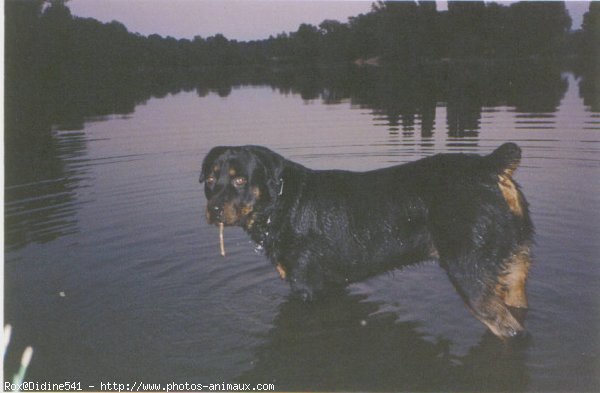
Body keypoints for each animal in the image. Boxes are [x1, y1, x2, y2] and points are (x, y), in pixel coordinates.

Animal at [202, 142, 536, 338]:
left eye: (240, 179)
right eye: (210, 179)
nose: (214, 209)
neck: (281, 204)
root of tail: (490, 166)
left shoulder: (308, 289)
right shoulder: (332, 286)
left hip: (470, 273)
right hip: (515, 268)